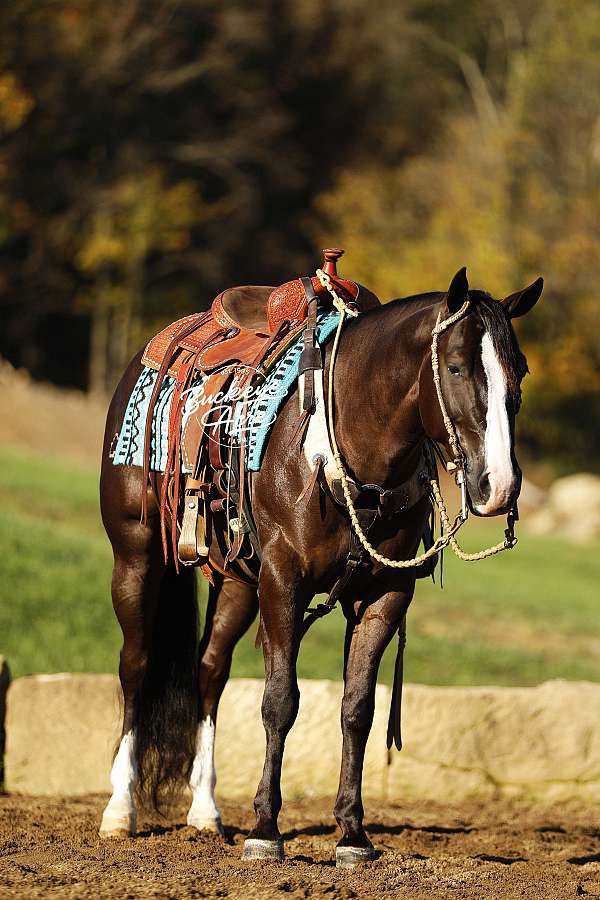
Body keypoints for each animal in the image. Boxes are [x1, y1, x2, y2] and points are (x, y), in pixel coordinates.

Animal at [98, 265, 543, 866]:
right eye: (454, 366)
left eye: (518, 370)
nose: (499, 486)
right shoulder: (284, 582)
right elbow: (280, 702)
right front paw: (266, 830)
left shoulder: (384, 594)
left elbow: (358, 709)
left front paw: (353, 834)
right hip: (137, 554)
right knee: (137, 665)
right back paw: (120, 809)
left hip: (239, 583)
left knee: (209, 671)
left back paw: (206, 812)